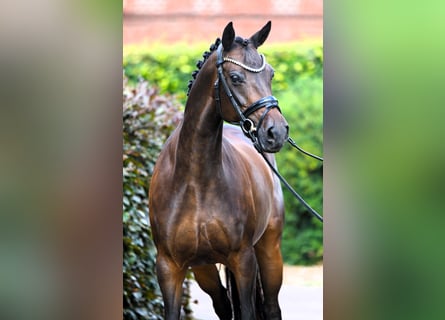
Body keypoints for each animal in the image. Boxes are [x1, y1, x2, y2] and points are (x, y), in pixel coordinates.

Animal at [148, 21, 288, 318]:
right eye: (235, 77)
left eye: (270, 74)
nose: (277, 132)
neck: (195, 182)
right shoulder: (169, 267)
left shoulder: (243, 259)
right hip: (204, 268)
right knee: (223, 304)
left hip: (269, 250)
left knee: (271, 307)